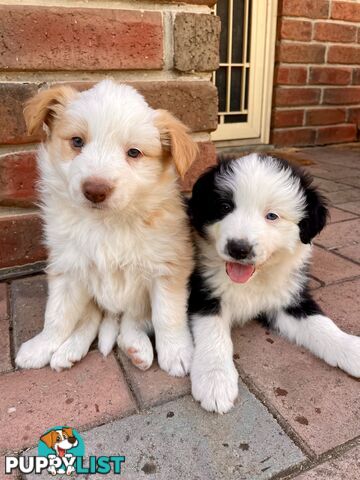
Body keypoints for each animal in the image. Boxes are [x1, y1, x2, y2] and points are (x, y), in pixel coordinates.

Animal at [16, 80, 197, 376]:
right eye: (77, 141)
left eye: (133, 152)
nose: (95, 190)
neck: (108, 223)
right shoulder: (67, 269)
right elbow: (56, 315)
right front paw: (41, 346)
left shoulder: (167, 268)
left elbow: (167, 315)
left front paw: (178, 352)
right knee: (90, 319)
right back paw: (68, 352)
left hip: (137, 300)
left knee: (132, 321)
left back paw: (137, 348)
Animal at [188, 153, 360, 412]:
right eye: (225, 207)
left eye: (272, 216)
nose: (238, 249)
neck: (254, 278)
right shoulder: (204, 292)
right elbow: (213, 334)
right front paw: (215, 380)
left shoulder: (290, 297)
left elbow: (320, 324)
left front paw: (350, 348)